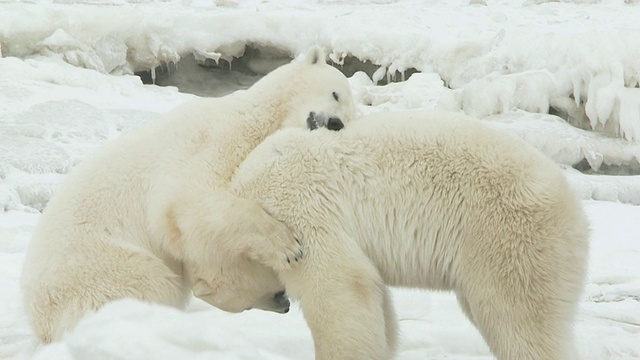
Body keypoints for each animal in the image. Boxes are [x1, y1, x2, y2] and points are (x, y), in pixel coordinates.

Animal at [20, 47, 358, 344]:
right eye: (336, 93)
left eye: (351, 118)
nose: (335, 122)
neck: (255, 120)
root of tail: (40, 320)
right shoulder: (209, 141)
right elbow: (190, 204)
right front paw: (288, 247)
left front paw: (268, 291)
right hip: (102, 265)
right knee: (146, 283)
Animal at [229, 110, 592, 360]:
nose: (282, 303)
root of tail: (575, 210)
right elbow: (375, 303)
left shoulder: (295, 209)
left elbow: (340, 287)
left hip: (511, 241)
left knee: (520, 323)